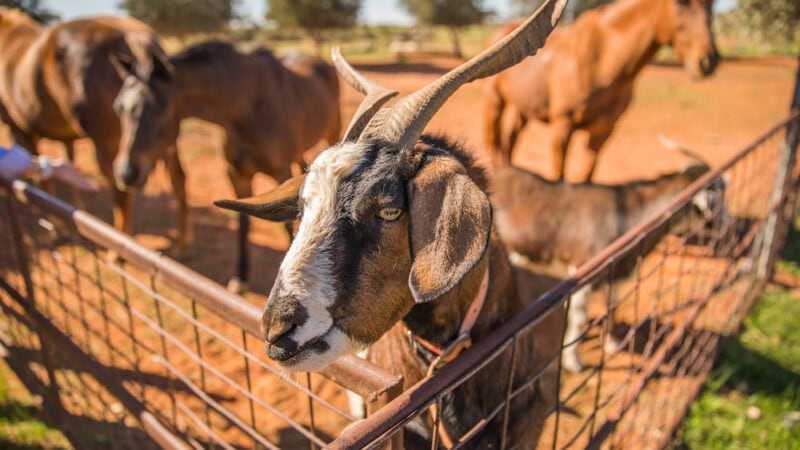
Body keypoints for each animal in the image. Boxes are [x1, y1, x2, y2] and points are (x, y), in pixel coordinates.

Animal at [0, 7, 170, 236]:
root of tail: (134, 35)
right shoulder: (67, 138)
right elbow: (69, 165)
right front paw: (74, 209)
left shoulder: (20, 131)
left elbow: (42, 182)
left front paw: (53, 224)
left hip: (109, 144)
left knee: (121, 194)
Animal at [484, 0, 720, 180]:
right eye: (681, 3)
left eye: (711, 4)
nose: (708, 60)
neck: (602, 62)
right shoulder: (563, 124)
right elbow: (558, 176)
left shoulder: (604, 130)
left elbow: (587, 176)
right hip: (495, 102)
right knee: (493, 140)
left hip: (525, 108)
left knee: (511, 139)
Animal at [490, 148, 720, 372]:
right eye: (718, 196)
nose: (723, 224)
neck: (622, 216)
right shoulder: (582, 271)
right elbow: (578, 319)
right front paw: (573, 362)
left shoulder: (616, 271)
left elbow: (613, 307)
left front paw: (612, 345)